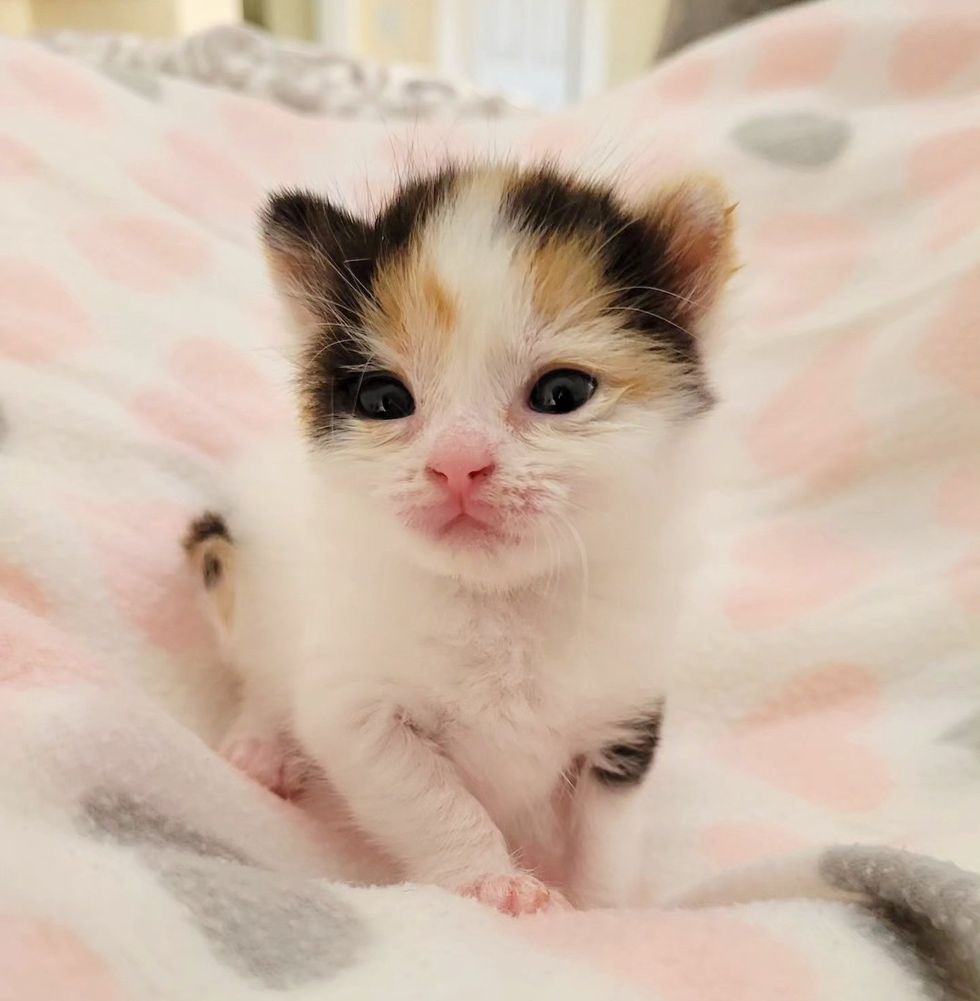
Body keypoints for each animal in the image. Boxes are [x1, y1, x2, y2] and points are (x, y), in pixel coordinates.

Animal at [188, 158, 732, 916]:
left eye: (563, 393)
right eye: (385, 401)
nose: (457, 463)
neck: (500, 600)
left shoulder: (627, 708)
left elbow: (608, 830)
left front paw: (603, 909)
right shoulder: (355, 707)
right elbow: (432, 799)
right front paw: (492, 881)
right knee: (264, 674)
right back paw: (260, 746)